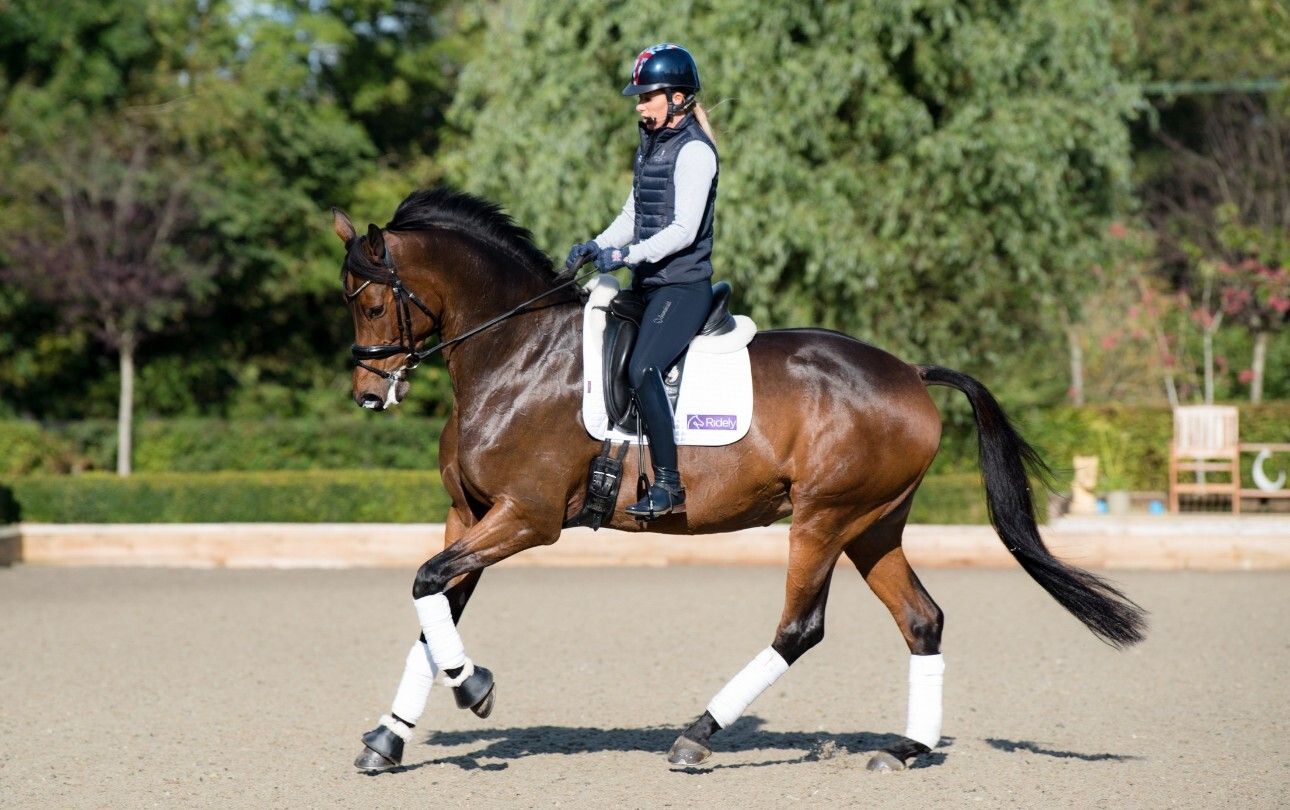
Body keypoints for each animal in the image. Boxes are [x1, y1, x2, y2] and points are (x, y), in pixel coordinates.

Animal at [335, 187, 1150, 773]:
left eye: (372, 302)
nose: (368, 394)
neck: (514, 351)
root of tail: (910, 373)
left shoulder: (526, 517)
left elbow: (426, 585)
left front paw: (474, 688)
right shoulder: (468, 513)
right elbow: (432, 604)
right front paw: (389, 737)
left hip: (823, 519)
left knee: (800, 628)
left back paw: (697, 735)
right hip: (873, 526)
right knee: (922, 619)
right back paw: (906, 749)